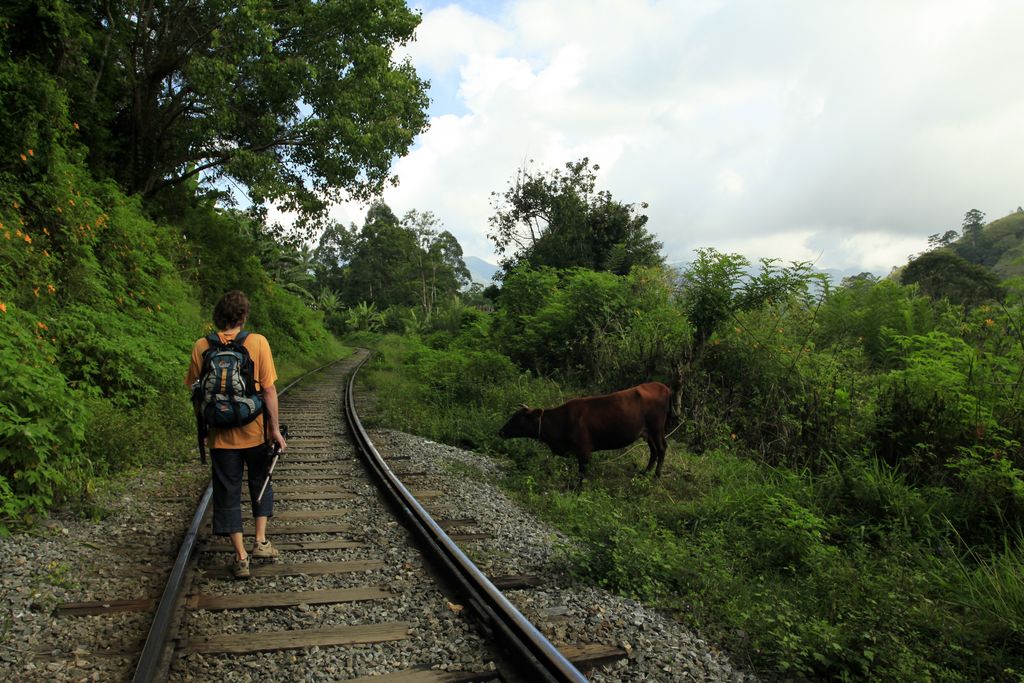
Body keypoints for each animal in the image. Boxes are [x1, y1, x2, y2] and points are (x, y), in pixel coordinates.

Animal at [497, 385, 671, 485]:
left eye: (517, 419)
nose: (501, 431)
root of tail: (662, 386)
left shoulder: (584, 450)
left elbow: (582, 472)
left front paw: (578, 489)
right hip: (647, 432)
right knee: (654, 450)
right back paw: (645, 473)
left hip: (656, 429)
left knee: (662, 448)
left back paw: (656, 476)